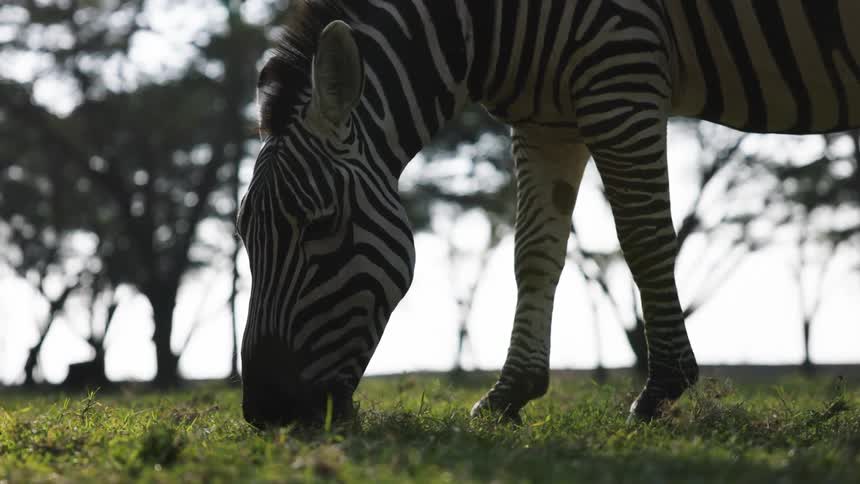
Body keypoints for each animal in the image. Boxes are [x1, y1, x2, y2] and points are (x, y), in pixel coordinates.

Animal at [237, 0, 860, 427]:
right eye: (244, 237)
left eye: (321, 225)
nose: (265, 412)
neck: (487, 24)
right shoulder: (547, 118)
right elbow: (534, 254)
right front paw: (510, 394)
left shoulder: (621, 72)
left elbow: (643, 238)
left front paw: (662, 389)